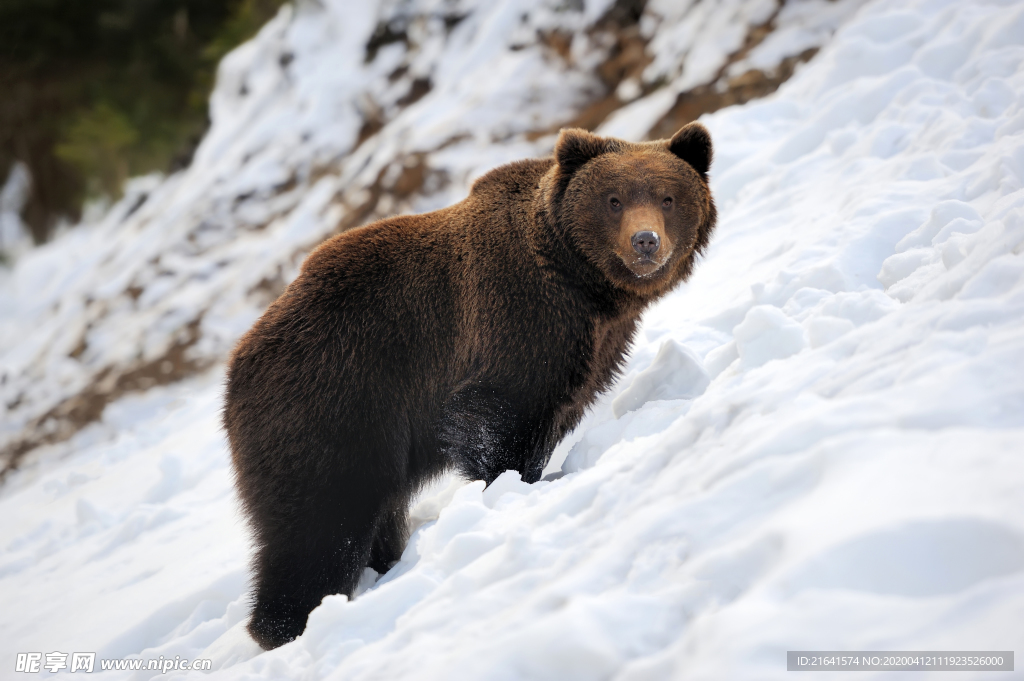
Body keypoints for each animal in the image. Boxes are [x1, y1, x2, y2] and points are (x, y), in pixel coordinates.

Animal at [224, 122, 720, 647]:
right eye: (613, 199)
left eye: (668, 197)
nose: (645, 241)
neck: (585, 286)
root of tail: (236, 368)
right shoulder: (515, 315)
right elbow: (496, 416)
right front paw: (512, 486)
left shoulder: (594, 347)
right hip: (331, 408)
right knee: (318, 530)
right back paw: (288, 624)